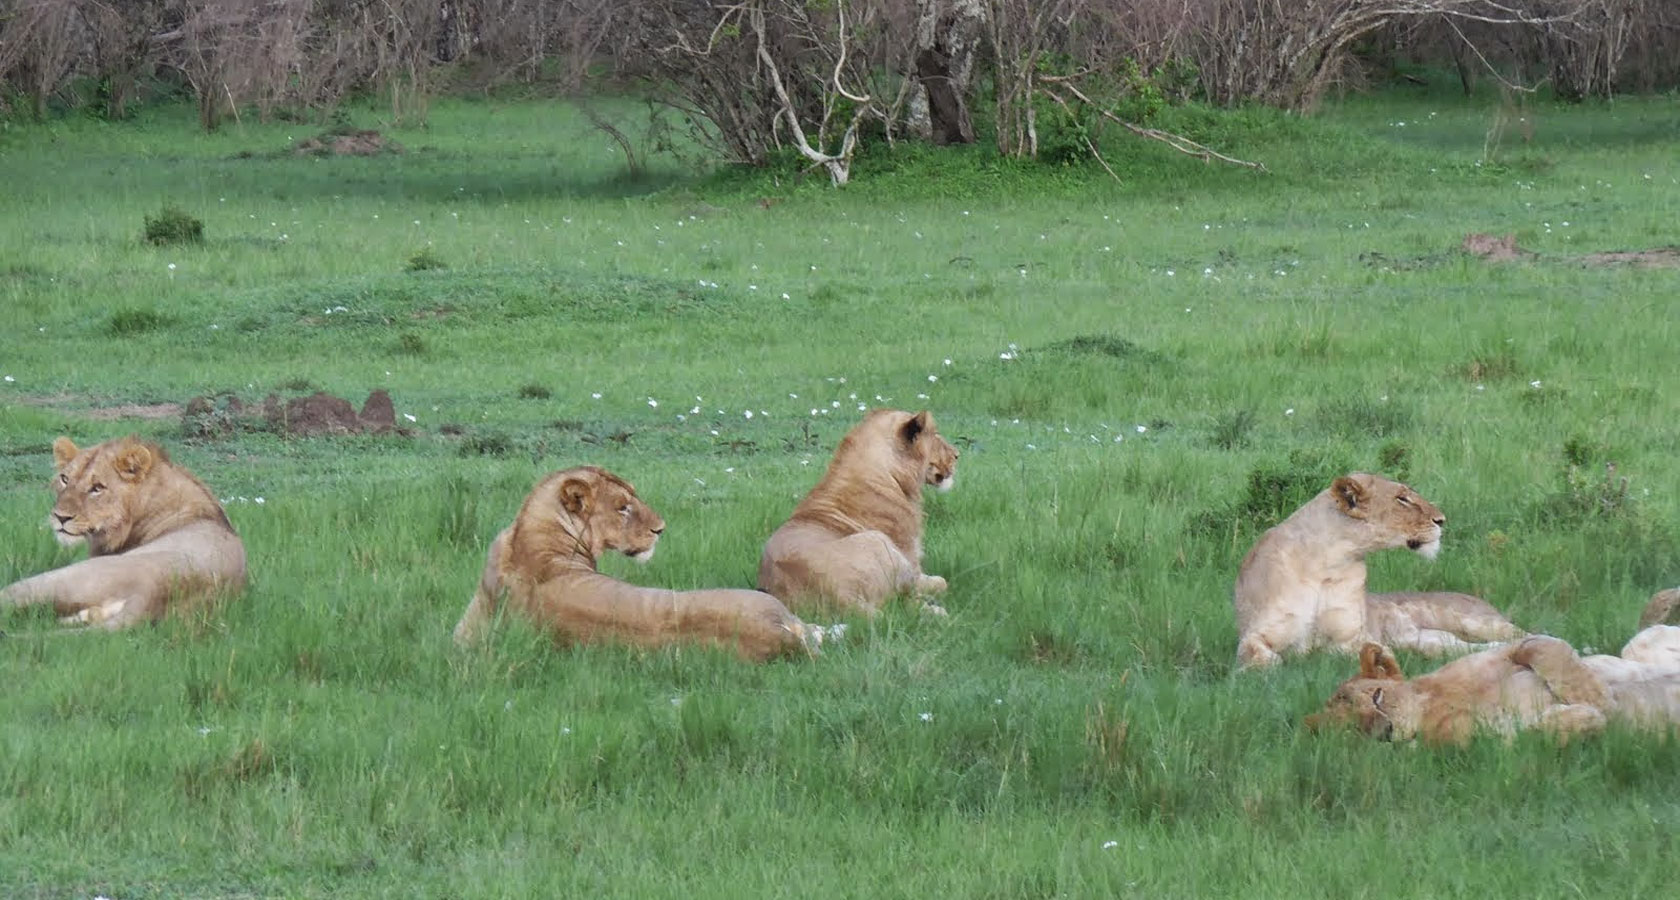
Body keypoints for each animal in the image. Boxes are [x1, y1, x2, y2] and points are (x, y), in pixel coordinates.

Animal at [757, 409, 957, 617]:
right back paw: (938, 612)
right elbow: (941, 581)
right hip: (878, 541)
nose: (957, 455)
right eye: (936, 435)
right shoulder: (912, 562)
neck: (889, 473)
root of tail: (843, 598)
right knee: (906, 602)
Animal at [1234, 472, 1524, 669]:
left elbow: (1351, 651)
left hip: (1474, 621)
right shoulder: (1254, 635)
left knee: (1521, 633)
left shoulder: (1355, 636)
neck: (1326, 561)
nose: (1442, 520)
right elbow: (1262, 659)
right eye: (1402, 499)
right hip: (1437, 639)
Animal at [1306, 627, 1680, 744]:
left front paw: (1601, 698)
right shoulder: (1481, 744)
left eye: (1377, 696)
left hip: (1642, 643)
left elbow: (1540, 648)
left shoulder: (1517, 647)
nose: (1383, 730)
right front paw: (1585, 715)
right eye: (1353, 728)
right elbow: (1534, 733)